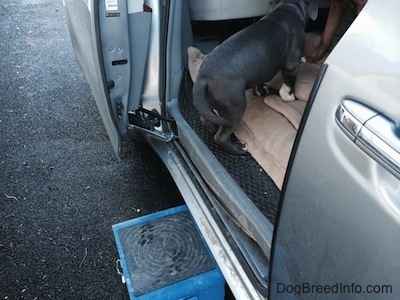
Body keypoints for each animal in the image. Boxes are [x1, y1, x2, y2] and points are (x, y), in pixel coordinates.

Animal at [192, 0, 318, 155]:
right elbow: (288, 86)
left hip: (209, 104)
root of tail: (202, 78)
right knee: (221, 136)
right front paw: (289, 98)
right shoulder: (291, 66)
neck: (288, 7)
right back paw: (239, 148)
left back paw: (214, 128)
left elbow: (260, 81)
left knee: (207, 119)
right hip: (235, 108)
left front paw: (261, 91)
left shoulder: (262, 70)